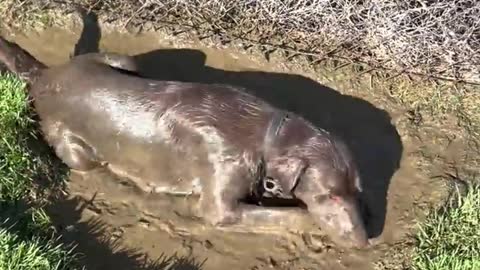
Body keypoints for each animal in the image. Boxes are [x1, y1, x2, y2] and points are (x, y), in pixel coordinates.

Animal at [0, 36, 368, 249]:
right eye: (331, 196)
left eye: (355, 192)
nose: (365, 241)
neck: (267, 138)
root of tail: (45, 76)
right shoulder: (220, 206)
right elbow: (290, 214)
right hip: (73, 147)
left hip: (126, 61)